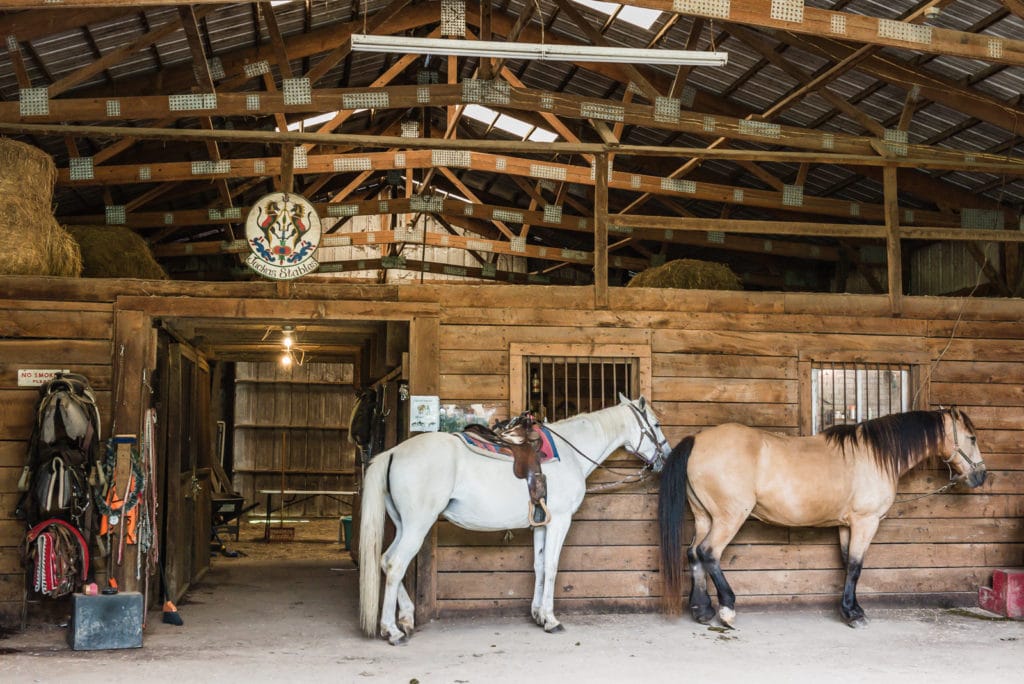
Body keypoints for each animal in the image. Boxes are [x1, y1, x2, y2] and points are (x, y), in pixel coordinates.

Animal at [360, 393, 671, 643]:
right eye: (656, 425)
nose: (665, 457)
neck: (570, 452)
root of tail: (393, 452)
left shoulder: (542, 522)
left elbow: (540, 565)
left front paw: (538, 614)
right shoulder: (560, 520)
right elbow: (552, 566)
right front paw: (551, 620)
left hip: (403, 524)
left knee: (386, 561)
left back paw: (406, 618)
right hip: (418, 524)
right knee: (396, 564)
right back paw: (392, 630)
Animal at [659, 409, 987, 626]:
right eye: (971, 438)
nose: (981, 475)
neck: (873, 456)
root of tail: (697, 440)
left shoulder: (846, 525)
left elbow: (847, 565)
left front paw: (850, 608)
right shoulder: (866, 522)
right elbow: (856, 566)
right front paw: (854, 615)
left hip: (704, 516)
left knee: (693, 554)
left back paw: (702, 610)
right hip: (729, 517)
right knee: (709, 552)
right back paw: (726, 608)